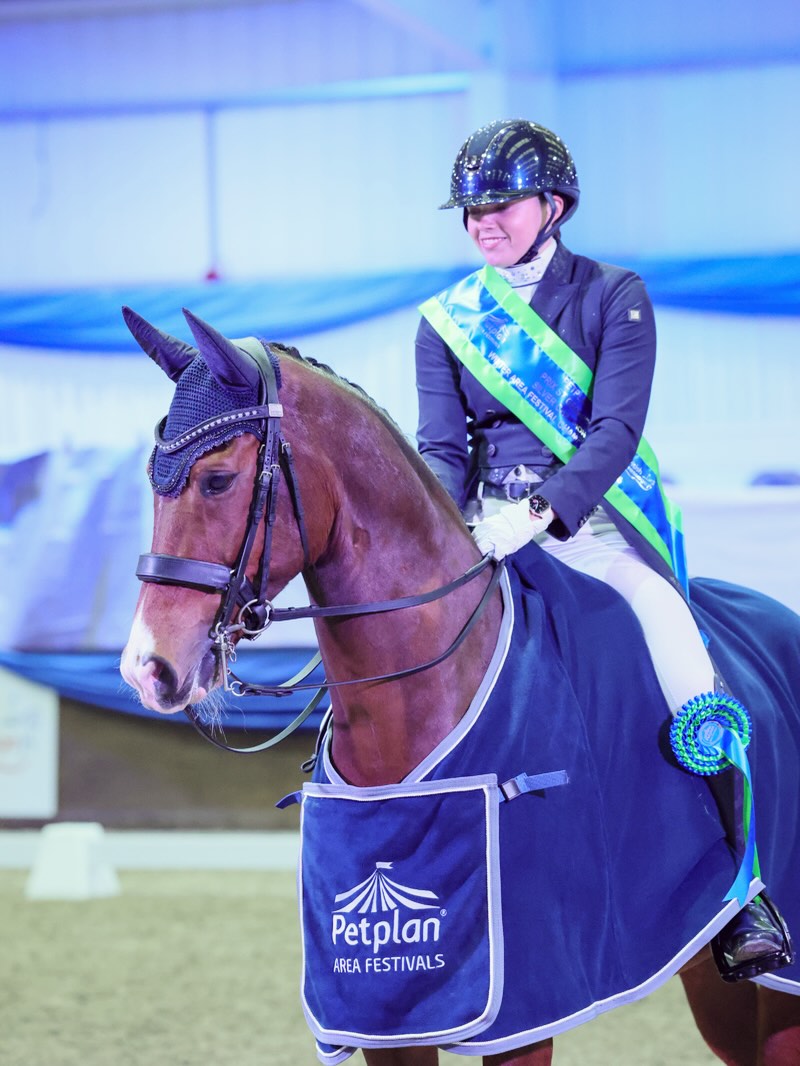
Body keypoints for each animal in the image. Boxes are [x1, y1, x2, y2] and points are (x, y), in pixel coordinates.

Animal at [120, 307, 800, 1066]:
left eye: (216, 480)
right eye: (152, 478)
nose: (147, 668)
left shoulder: (529, 1004)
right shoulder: (384, 1014)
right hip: (720, 991)